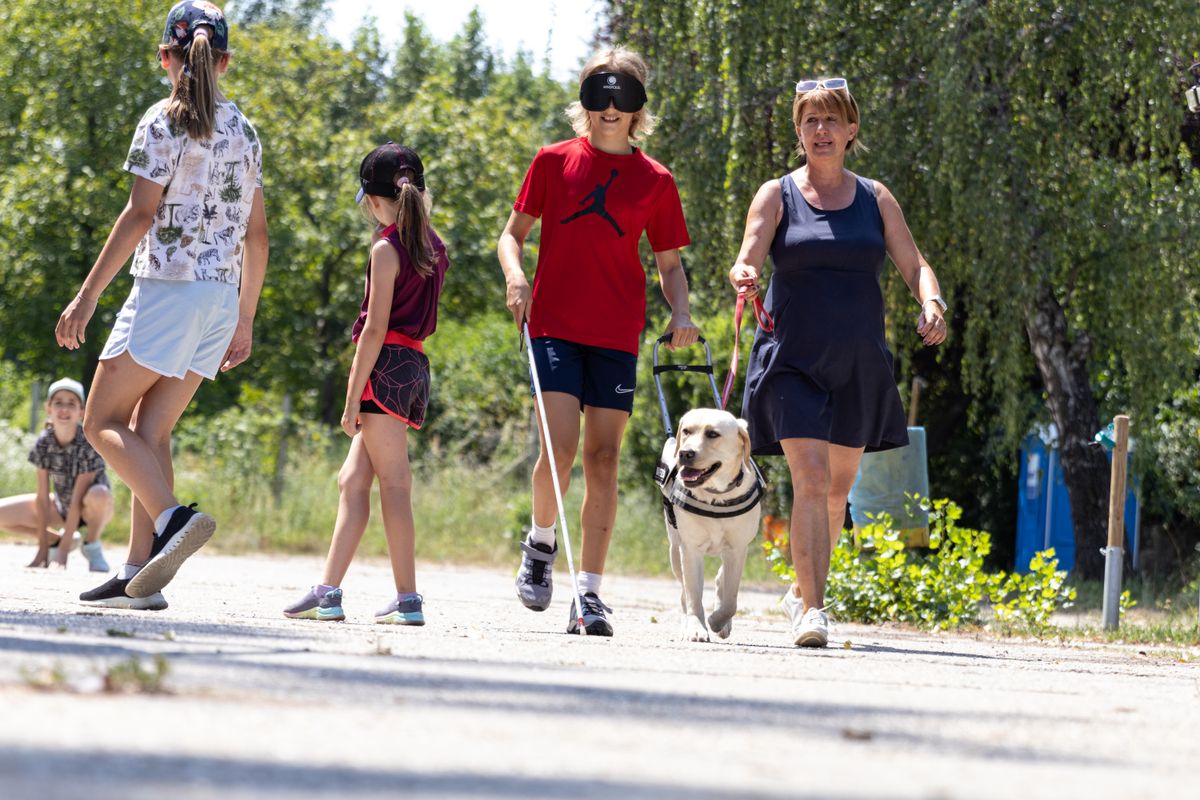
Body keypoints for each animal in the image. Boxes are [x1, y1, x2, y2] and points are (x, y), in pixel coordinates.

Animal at [662, 410, 763, 642]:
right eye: (686, 431)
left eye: (713, 434)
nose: (685, 453)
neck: (716, 496)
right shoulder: (690, 550)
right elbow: (693, 595)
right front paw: (696, 628)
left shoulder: (737, 550)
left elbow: (731, 601)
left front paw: (717, 621)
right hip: (675, 551)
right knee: (684, 592)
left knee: (720, 580)